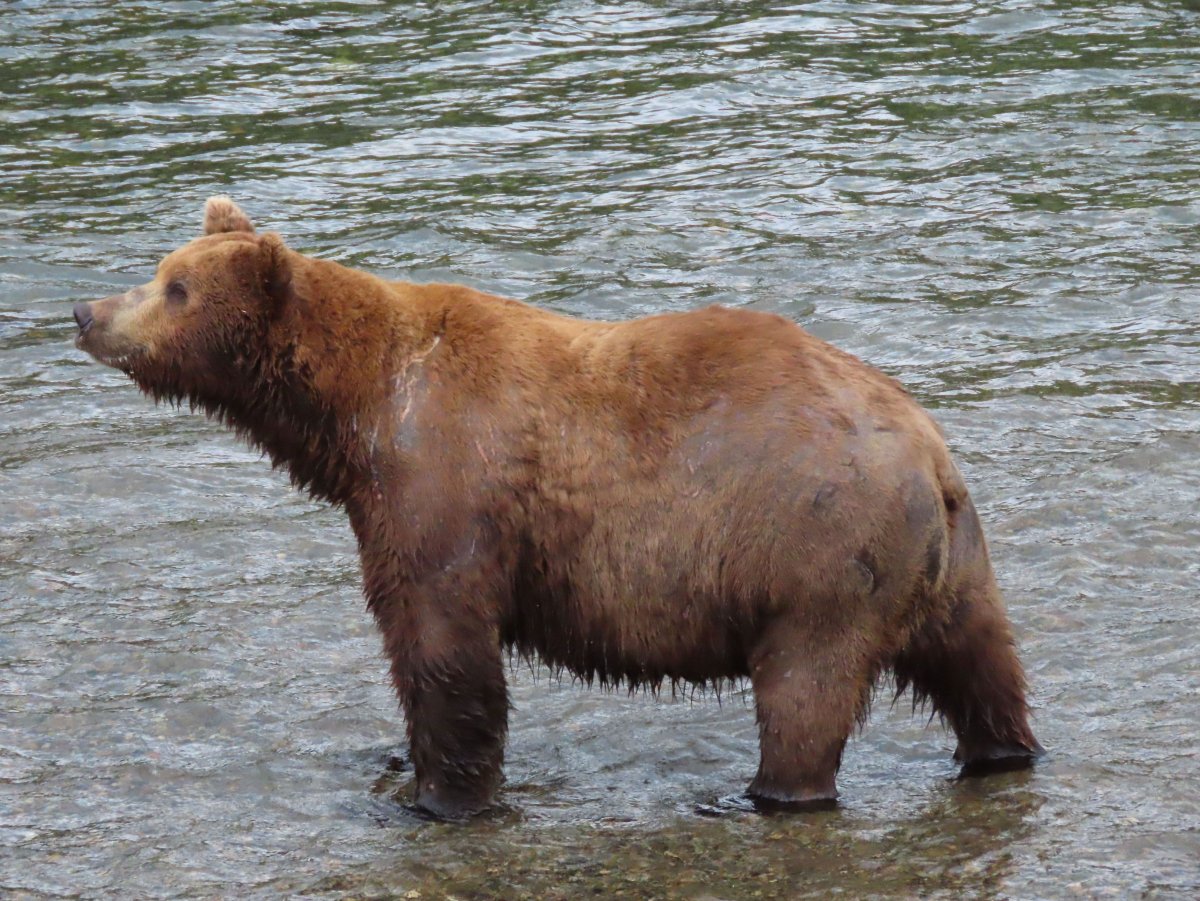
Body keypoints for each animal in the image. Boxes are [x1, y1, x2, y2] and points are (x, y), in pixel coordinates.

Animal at [73, 197, 1043, 818]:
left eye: (175, 288)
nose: (86, 308)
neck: (359, 412)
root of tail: (927, 452)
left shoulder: (448, 482)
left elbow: (446, 649)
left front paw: (443, 796)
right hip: (950, 561)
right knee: (982, 664)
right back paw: (1004, 751)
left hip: (817, 559)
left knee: (805, 697)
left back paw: (764, 794)